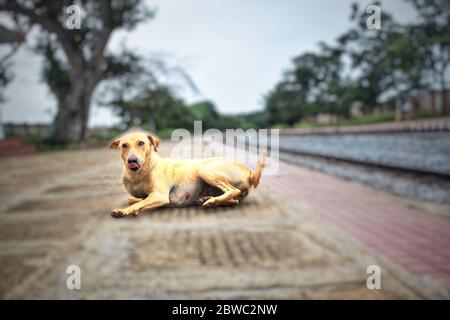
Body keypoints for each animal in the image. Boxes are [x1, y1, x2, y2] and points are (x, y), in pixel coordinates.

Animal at [108, 131, 264, 218]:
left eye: (141, 143)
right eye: (124, 145)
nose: (132, 160)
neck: (139, 173)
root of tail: (250, 172)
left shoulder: (160, 195)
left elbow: (137, 203)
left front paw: (125, 211)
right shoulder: (143, 195)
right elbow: (133, 199)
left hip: (205, 169)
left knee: (233, 190)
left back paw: (212, 201)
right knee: (235, 199)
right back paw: (209, 200)